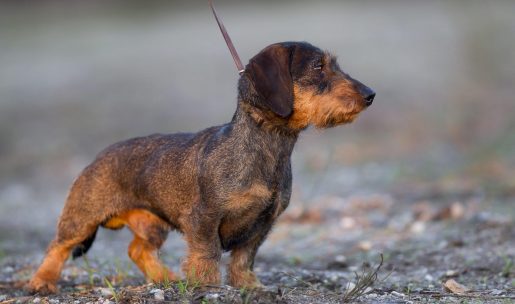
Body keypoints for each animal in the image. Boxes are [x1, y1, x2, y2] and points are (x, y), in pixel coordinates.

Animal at [27, 41, 374, 294]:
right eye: (318, 67)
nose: (370, 95)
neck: (266, 148)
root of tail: (99, 156)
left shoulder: (263, 223)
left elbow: (243, 259)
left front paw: (248, 286)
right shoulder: (204, 218)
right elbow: (207, 254)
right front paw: (207, 285)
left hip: (153, 225)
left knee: (137, 250)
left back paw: (164, 278)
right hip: (82, 217)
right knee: (57, 246)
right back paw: (42, 282)